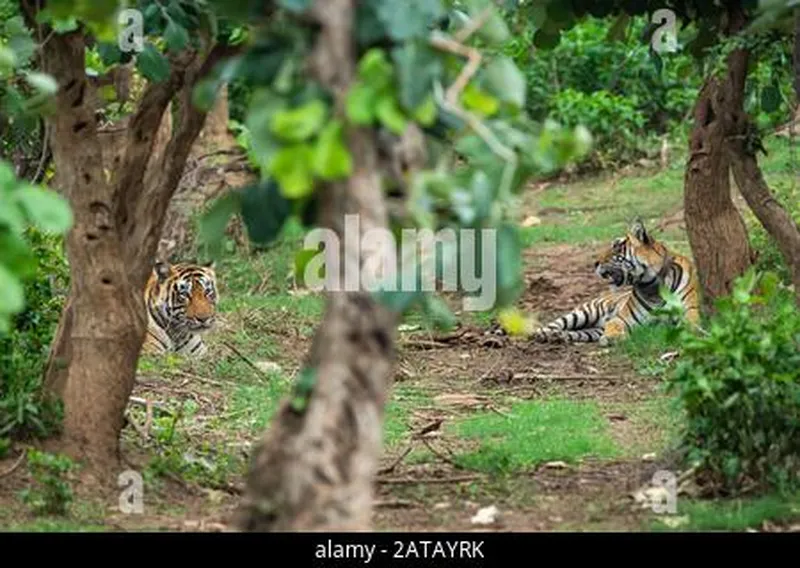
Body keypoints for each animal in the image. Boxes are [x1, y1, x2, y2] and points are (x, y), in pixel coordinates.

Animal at [532, 219, 700, 346]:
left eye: (616, 246)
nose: (595, 263)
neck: (652, 286)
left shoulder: (691, 310)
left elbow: (691, 324)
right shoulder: (620, 318)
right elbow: (614, 325)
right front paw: (612, 337)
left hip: (592, 330)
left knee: (578, 332)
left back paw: (561, 337)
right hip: (584, 313)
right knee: (554, 324)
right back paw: (545, 334)